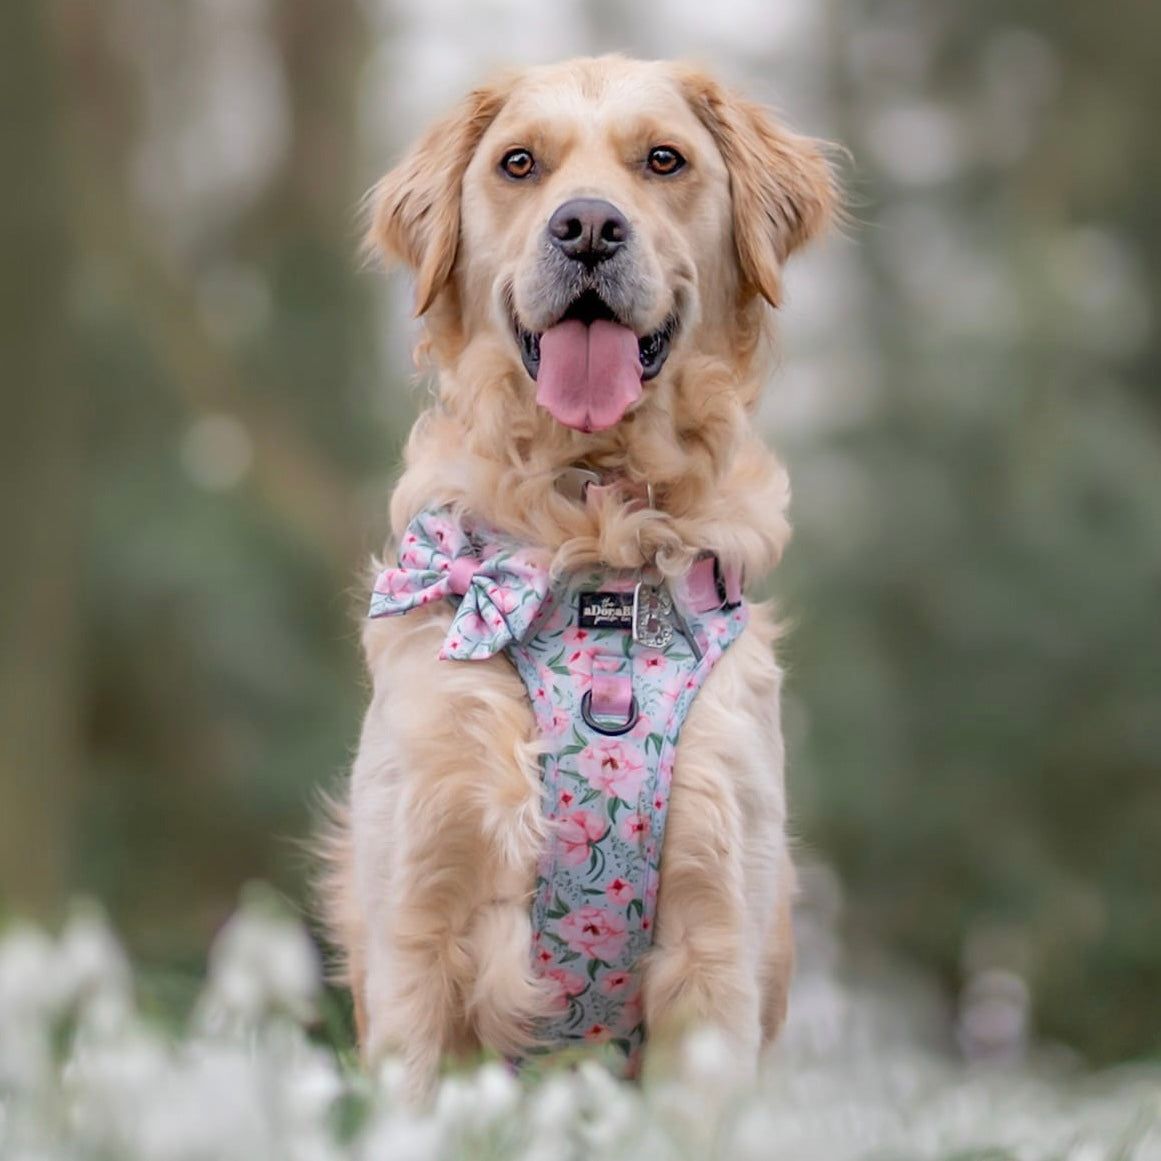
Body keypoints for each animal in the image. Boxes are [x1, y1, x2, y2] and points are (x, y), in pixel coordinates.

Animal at [320, 54, 835, 1091]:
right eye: (518, 163)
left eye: (664, 159)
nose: (588, 227)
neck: (595, 530)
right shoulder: (414, 926)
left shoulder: (717, 936)